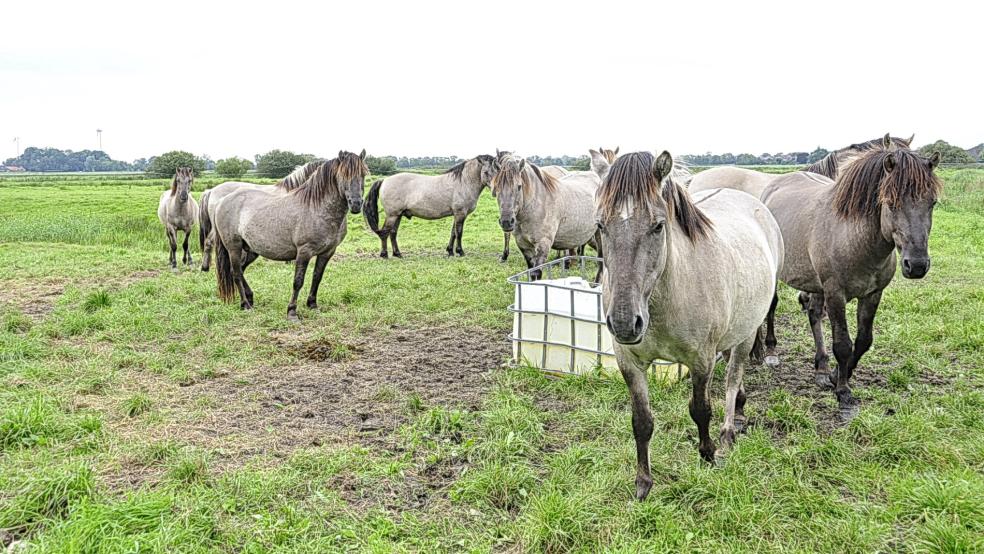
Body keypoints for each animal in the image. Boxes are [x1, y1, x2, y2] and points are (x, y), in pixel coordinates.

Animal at [213, 151, 368, 321]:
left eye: (364, 174)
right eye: (343, 175)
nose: (356, 204)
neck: (317, 209)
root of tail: (222, 201)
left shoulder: (327, 252)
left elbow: (317, 277)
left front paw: (312, 305)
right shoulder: (304, 252)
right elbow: (298, 281)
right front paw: (292, 312)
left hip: (251, 249)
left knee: (241, 269)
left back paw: (250, 298)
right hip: (234, 247)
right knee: (236, 274)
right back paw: (245, 305)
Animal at [363, 155, 497, 258]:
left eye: (497, 171)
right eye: (486, 172)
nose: (495, 191)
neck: (463, 182)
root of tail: (384, 180)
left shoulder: (456, 214)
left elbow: (453, 233)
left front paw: (450, 251)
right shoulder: (460, 214)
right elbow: (459, 232)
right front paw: (460, 252)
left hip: (398, 215)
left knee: (392, 233)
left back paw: (397, 254)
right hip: (392, 215)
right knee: (385, 232)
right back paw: (384, 254)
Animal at [597, 151, 783, 500]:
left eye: (658, 226)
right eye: (600, 225)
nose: (625, 323)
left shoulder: (701, 360)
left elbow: (700, 409)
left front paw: (708, 455)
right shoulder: (629, 361)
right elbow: (641, 421)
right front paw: (643, 483)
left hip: (747, 331)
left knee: (733, 377)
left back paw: (729, 430)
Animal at [757, 141, 941, 416]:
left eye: (932, 203)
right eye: (891, 202)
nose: (917, 265)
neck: (854, 236)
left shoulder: (873, 294)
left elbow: (863, 341)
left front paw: (835, 375)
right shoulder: (836, 294)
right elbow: (843, 345)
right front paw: (843, 392)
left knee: (814, 314)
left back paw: (821, 368)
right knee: (771, 306)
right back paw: (769, 351)